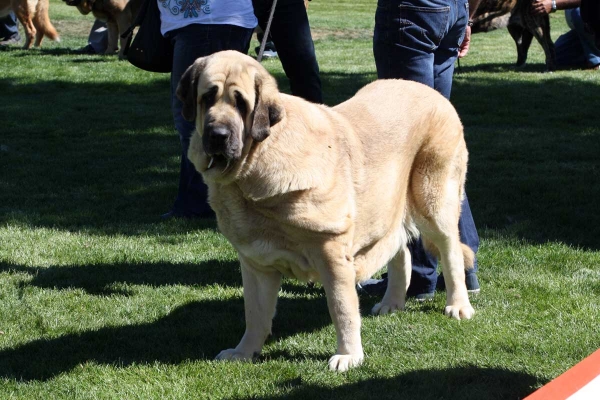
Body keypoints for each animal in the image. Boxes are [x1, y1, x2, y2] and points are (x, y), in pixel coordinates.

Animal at [178, 51, 474, 374]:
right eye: (207, 97)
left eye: (241, 103)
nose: (217, 135)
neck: (252, 167)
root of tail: (433, 93)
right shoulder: (256, 262)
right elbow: (254, 312)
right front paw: (244, 352)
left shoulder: (332, 254)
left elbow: (342, 308)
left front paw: (348, 355)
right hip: (387, 204)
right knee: (400, 250)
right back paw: (391, 302)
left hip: (434, 202)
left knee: (451, 252)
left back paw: (459, 305)